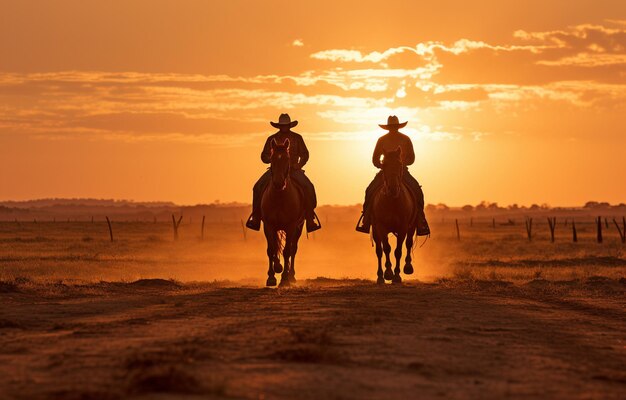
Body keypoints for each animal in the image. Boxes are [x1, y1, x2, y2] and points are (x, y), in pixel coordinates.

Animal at [260, 139, 306, 286]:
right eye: (272, 159)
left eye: (287, 159)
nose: (279, 183)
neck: (279, 198)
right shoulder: (269, 226)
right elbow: (271, 250)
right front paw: (272, 276)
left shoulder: (291, 226)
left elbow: (287, 251)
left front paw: (285, 278)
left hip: (299, 226)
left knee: (293, 249)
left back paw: (291, 276)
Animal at [368, 148, 416, 284]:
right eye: (384, 165)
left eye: (400, 164)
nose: (393, 188)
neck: (392, 201)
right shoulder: (381, 227)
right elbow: (386, 248)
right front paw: (388, 273)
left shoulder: (403, 228)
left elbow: (398, 251)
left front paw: (397, 276)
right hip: (375, 230)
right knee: (379, 251)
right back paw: (380, 276)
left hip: (411, 227)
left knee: (409, 243)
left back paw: (408, 267)